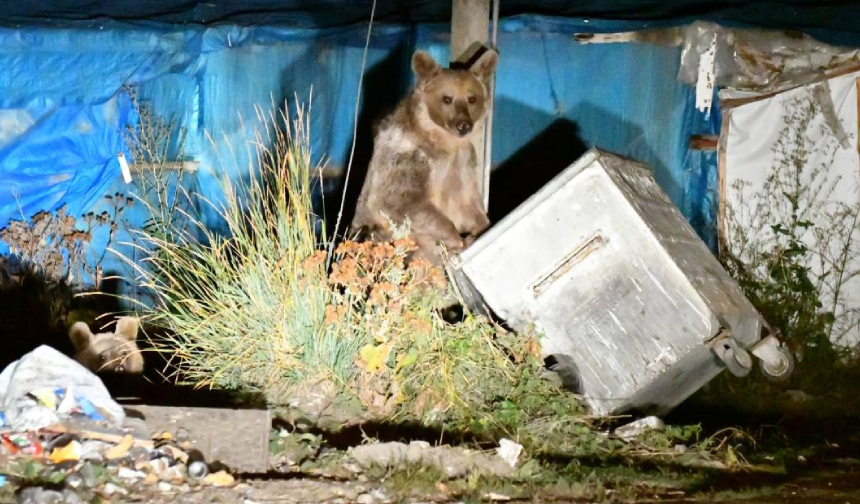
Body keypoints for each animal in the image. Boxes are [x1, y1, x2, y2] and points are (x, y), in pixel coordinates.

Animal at [348, 49, 498, 266]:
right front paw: (456, 239)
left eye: (472, 99)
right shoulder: (408, 156)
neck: (443, 142)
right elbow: (400, 201)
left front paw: (480, 225)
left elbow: (466, 201)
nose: (464, 125)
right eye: (447, 98)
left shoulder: (462, 162)